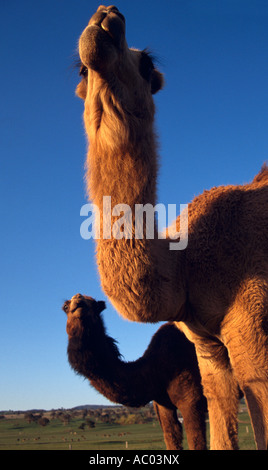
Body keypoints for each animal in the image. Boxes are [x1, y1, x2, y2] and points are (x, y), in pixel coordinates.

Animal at [63, 294, 207, 452]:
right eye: (66, 307)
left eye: (95, 305)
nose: (78, 301)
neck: (157, 369)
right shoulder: (162, 405)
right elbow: (171, 438)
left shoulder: (191, 400)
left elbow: (196, 441)